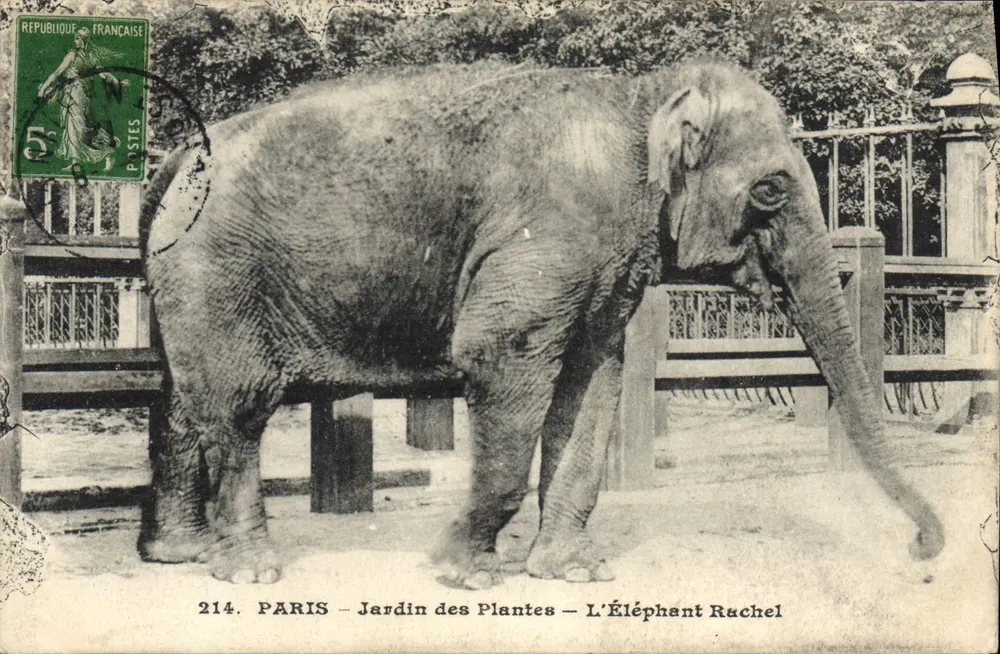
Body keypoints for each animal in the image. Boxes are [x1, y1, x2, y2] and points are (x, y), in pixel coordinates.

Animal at [138, 59, 944, 587]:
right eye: (772, 191)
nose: (923, 551)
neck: (642, 97)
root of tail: (175, 156)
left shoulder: (604, 265)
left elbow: (594, 379)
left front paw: (574, 572)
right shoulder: (547, 240)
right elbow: (502, 355)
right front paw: (462, 572)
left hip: (185, 280)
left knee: (179, 399)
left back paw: (178, 556)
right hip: (220, 272)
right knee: (238, 406)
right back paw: (250, 573)